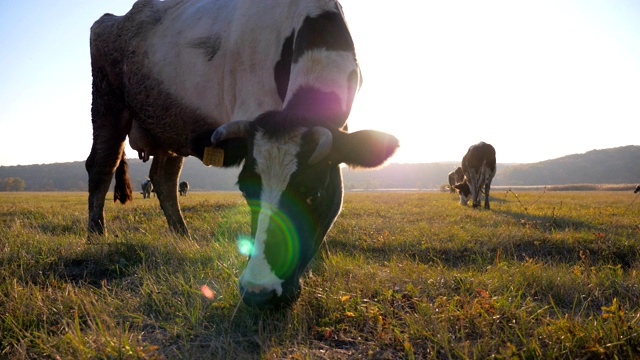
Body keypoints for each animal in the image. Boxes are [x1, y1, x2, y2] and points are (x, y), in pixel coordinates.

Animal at [83, 0, 398, 310]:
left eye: (314, 194)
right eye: (246, 190)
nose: (259, 292)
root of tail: (115, 18)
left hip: (170, 126)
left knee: (164, 179)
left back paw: (182, 236)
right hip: (107, 104)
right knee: (101, 164)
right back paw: (97, 235)